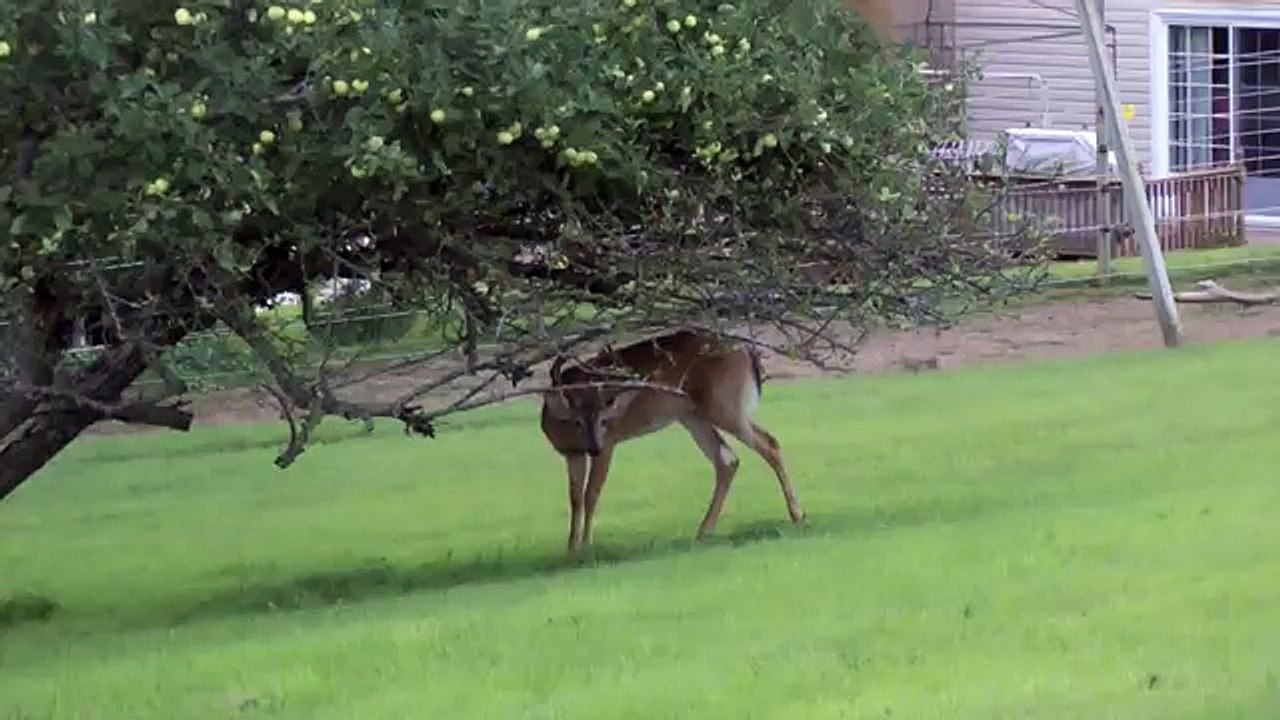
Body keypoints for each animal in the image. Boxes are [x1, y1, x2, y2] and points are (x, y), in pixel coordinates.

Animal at [539, 328, 806, 554]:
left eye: (605, 420)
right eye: (577, 421)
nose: (593, 447)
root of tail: (747, 352)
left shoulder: (610, 443)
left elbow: (591, 492)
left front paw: (586, 546)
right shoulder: (572, 454)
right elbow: (574, 497)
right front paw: (571, 547)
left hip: (724, 405)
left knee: (769, 443)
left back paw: (797, 514)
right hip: (692, 416)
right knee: (727, 459)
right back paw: (704, 531)